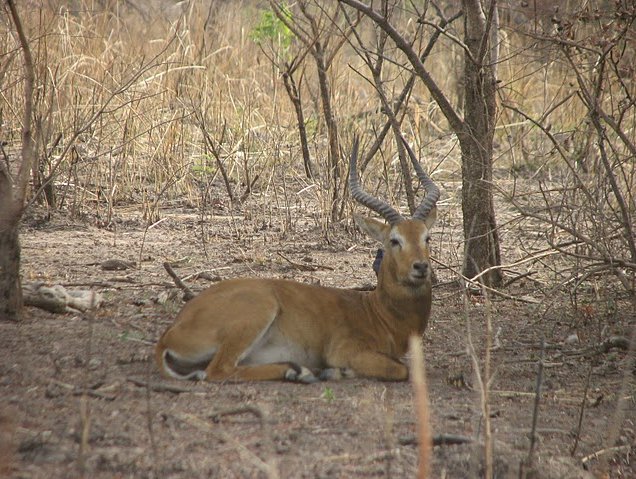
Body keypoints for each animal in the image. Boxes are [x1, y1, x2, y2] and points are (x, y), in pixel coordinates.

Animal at [157, 138, 440, 382]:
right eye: (394, 240)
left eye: (426, 237)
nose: (421, 267)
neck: (376, 313)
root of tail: (169, 335)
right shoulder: (346, 351)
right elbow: (401, 370)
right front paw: (336, 371)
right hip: (257, 312)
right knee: (218, 371)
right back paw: (299, 370)